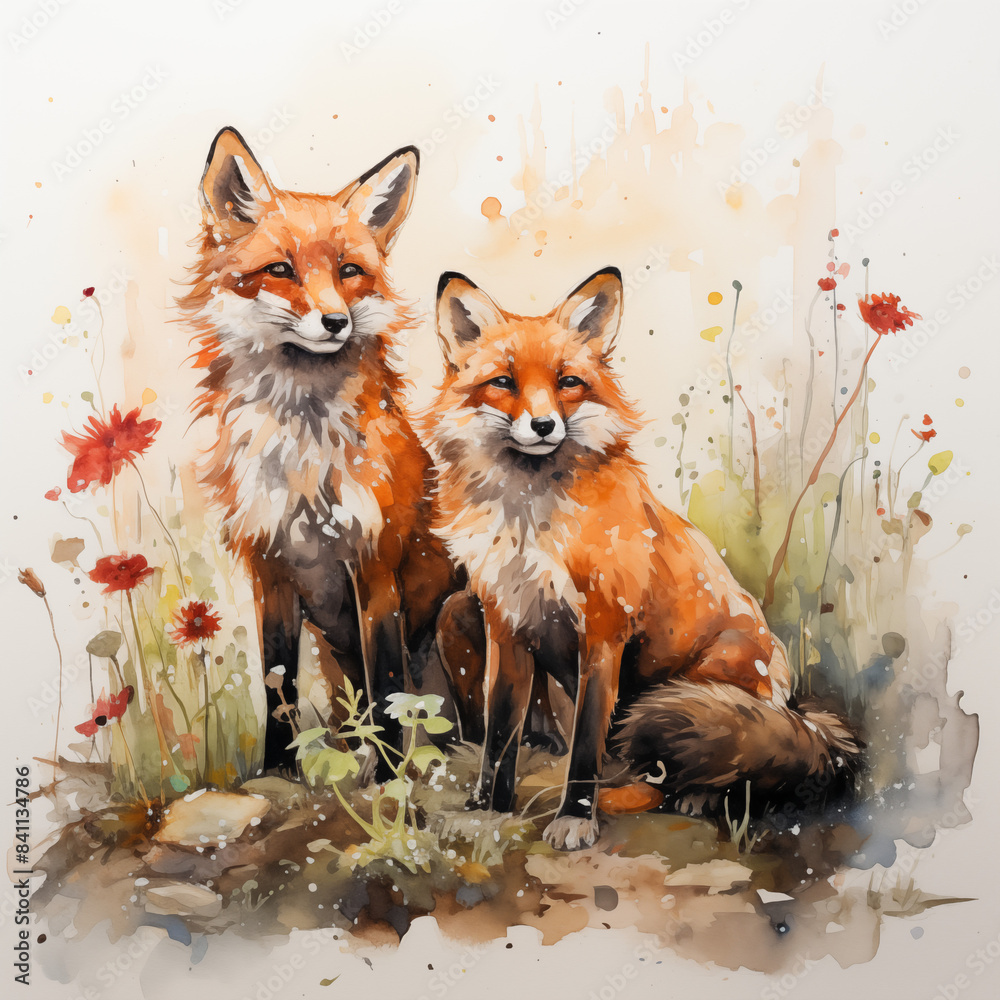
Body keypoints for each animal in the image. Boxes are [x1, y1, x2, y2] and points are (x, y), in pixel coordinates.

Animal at [179, 127, 456, 775]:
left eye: (350, 270)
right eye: (280, 270)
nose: (334, 321)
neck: (304, 459)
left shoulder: (374, 566)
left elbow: (387, 689)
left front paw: (389, 781)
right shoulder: (271, 566)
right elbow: (277, 681)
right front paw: (280, 771)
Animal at [426, 267, 860, 851]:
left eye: (567, 382)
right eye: (504, 382)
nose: (542, 426)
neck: (530, 520)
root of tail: (791, 703)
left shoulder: (603, 631)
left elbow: (585, 744)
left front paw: (575, 817)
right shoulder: (506, 626)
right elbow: (499, 738)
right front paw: (486, 811)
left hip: (706, 683)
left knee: (695, 772)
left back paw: (687, 796)